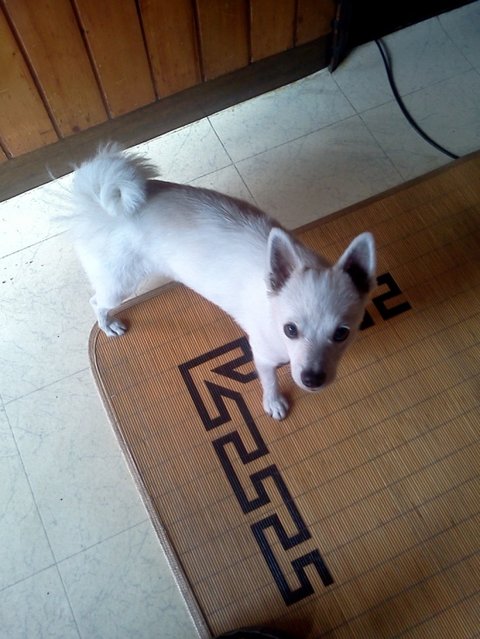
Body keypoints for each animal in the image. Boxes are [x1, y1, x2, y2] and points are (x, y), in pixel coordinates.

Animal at [67, 144, 376, 420]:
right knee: (97, 301)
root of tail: (94, 204)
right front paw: (274, 403)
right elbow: (270, 381)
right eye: (290, 330)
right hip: (121, 283)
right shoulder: (263, 356)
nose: (312, 378)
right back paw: (108, 325)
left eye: (342, 334)